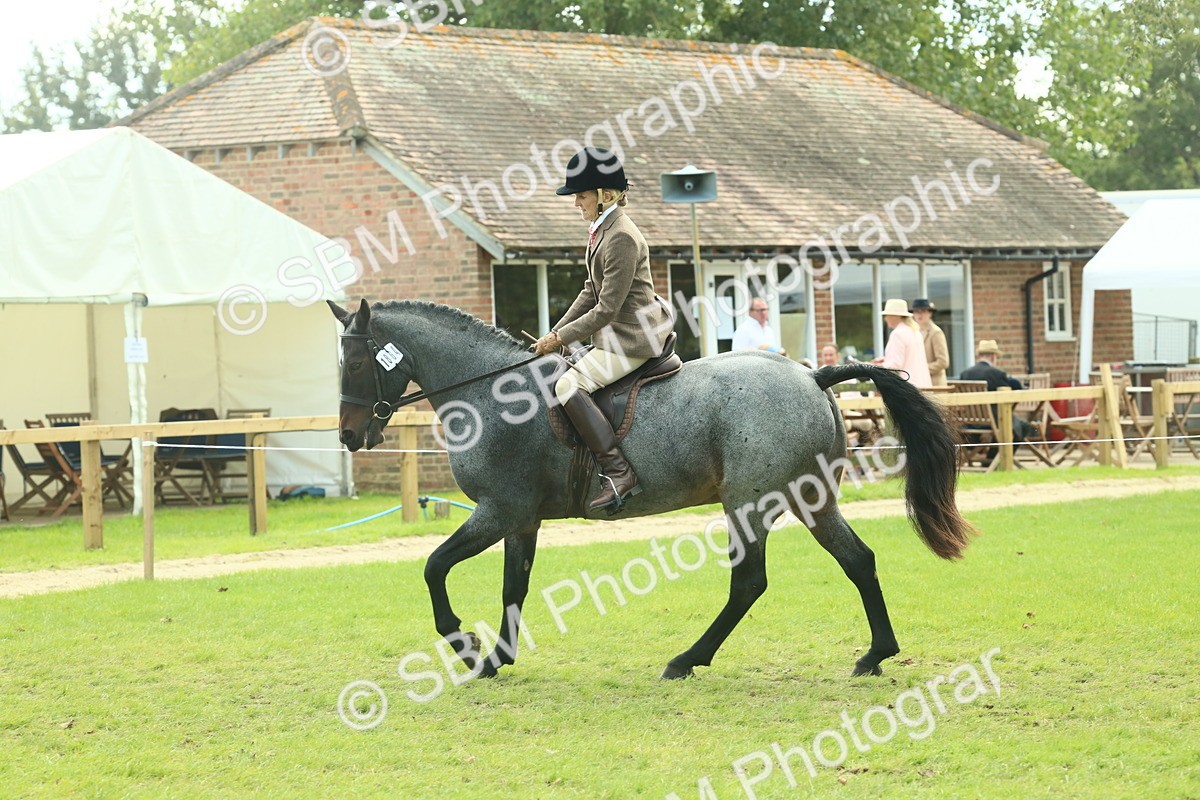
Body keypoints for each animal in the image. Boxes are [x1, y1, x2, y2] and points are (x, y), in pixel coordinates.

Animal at [329, 298, 974, 680]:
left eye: (355, 364)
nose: (350, 435)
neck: (494, 392)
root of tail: (814, 374)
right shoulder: (520, 519)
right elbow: (514, 588)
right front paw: (494, 659)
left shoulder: (497, 510)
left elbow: (434, 567)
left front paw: (463, 644)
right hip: (809, 499)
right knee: (857, 560)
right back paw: (875, 654)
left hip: (750, 503)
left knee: (750, 583)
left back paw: (687, 660)